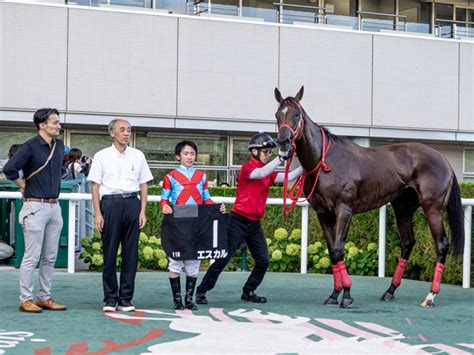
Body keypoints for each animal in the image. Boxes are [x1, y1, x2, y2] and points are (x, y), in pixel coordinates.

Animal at [276, 87, 464, 308]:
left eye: (297, 114)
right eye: (278, 114)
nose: (284, 146)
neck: (327, 161)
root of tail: (443, 160)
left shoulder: (344, 209)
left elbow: (339, 249)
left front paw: (346, 294)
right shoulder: (323, 213)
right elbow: (332, 252)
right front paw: (334, 294)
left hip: (433, 209)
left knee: (441, 245)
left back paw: (430, 296)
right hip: (403, 208)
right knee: (408, 243)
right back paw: (390, 291)